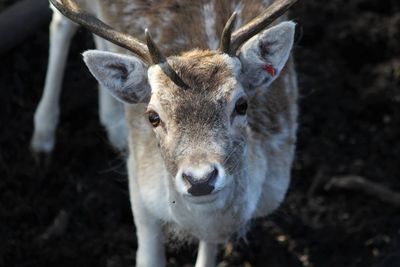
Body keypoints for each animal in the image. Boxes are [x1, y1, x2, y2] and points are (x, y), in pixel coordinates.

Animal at [47, 0, 298, 266]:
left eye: (242, 105)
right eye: (152, 116)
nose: (200, 180)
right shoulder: (139, 184)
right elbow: (149, 259)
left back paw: (113, 124)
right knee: (60, 24)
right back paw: (43, 137)